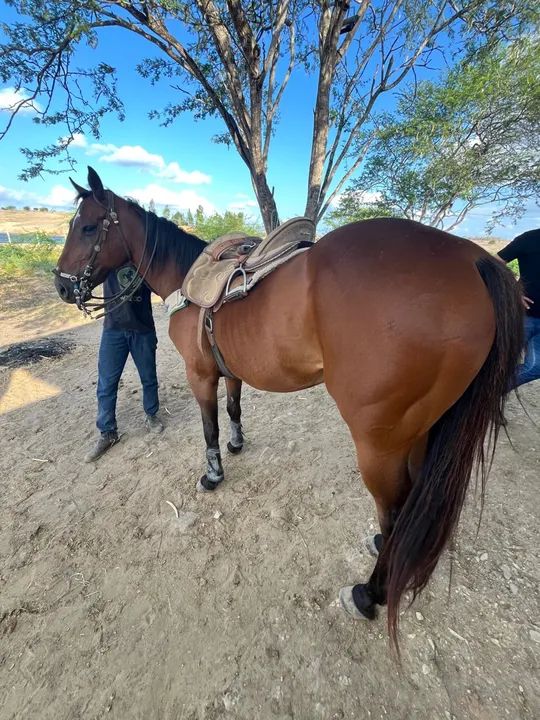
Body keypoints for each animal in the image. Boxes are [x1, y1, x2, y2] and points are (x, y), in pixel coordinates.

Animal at [54, 167, 523, 646]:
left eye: (87, 226)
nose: (61, 284)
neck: (190, 279)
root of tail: (471, 259)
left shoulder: (200, 377)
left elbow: (209, 428)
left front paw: (213, 474)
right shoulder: (231, 371)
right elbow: (234, 410)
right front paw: (238, 446)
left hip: (379, 442)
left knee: (393, 511)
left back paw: (371, 592)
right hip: (421, 430)